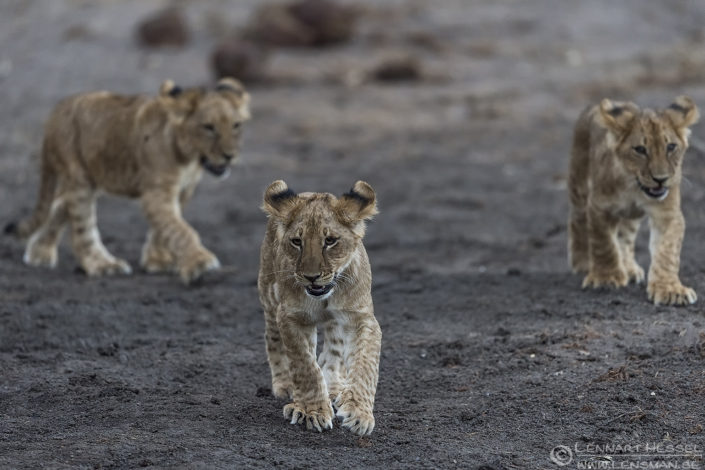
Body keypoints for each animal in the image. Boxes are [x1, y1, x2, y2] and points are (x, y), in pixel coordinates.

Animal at [8, 77, 250, 284]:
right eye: (208, 127)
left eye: (236, 125)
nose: (230, 156)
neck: (189, 159)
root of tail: (55, 112)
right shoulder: (156, 193)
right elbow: (180, 229)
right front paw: (199, 262)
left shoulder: (183, 190)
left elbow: (165, 227)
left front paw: (156, 260)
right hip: (79, 178)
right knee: (82, 230)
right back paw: (104, 265)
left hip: (90, 176)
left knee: (59, 205)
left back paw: (39, 252)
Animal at [257, 180, 382, 436]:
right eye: (297, 242)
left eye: (330, 240)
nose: (311, 277)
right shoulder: (290, 317)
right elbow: (305, 366)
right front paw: (312, 411)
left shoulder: (362, 318)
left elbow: (365, 364)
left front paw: (359, 413)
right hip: (269, 296)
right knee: (273, 340)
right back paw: (286, 387)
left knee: (334, 351)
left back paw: (334, 387)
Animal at [568, 96, 699, 306]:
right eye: (640, 149)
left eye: (671, 147)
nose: (661, 179)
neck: (634, 188)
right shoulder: (599, 207)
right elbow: (603, 243)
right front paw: (606, 277)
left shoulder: (668, 213)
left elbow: (667, 252)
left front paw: (670, 289)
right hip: (579, 184)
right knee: (577, 221)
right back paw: (583, 262)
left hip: (631, 216)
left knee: (626, 237)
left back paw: (628, 268)